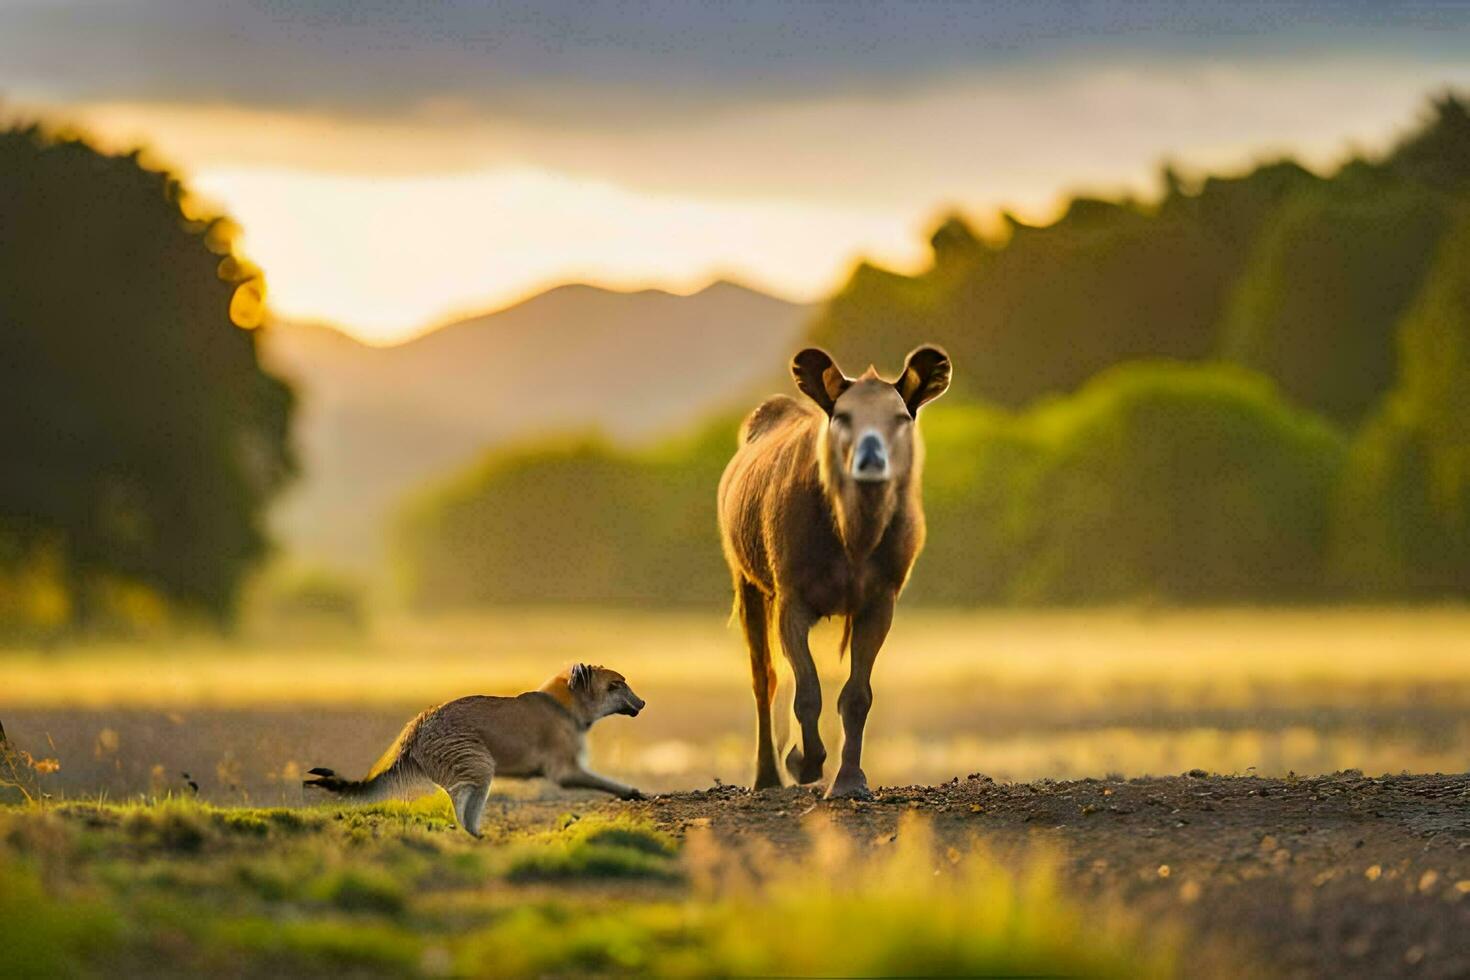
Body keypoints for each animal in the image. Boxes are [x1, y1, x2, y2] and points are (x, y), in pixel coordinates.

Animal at [304, 658, 643, 834]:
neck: (566, 705)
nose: (641, 702)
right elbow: (605, 781)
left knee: (460, 802)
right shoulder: (564, 770)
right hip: (479, 764)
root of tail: (418, 724)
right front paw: (634, 792)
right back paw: (473, 836)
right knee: (461, 804)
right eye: (616, 685)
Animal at [714, 345, 946, 799]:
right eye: (842, 416)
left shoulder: (881, 598)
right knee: (763, 676)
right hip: (746, 579)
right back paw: (767, 775)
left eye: (900, 416)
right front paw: (803, 762)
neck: (854, 538)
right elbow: (806, 691)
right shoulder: (791, 593)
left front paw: (849, 780)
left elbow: (856, 696)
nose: (871, 459)